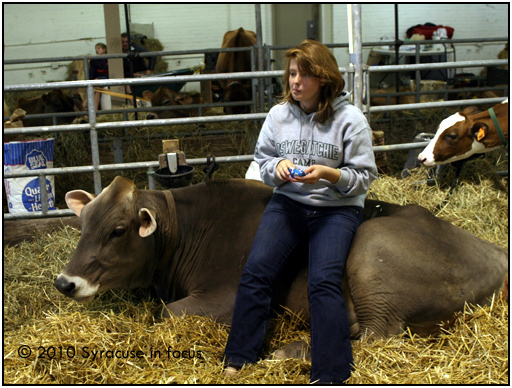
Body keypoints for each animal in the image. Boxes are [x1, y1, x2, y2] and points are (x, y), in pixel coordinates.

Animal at [53, 177, 508, 350]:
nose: (65, 282)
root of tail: (494, 249)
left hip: (372, 252)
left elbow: (167, 313)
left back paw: (291, 350)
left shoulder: (227, 294)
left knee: (378, 334)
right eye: (83, 222)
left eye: (117, 230)